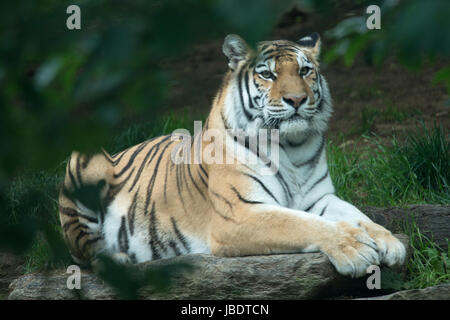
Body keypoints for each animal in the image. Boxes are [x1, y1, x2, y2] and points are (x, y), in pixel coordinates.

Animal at [58, 32, 406, 278]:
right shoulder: (239, 212)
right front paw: (355, 248)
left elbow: (357, 215)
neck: (291, 146)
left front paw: (389, 242)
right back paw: (120, 259)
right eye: (268, 75)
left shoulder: (319, 199)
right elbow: (301, 224)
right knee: (86, 254)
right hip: (82, 163)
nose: (296, 99)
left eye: (305, 71)